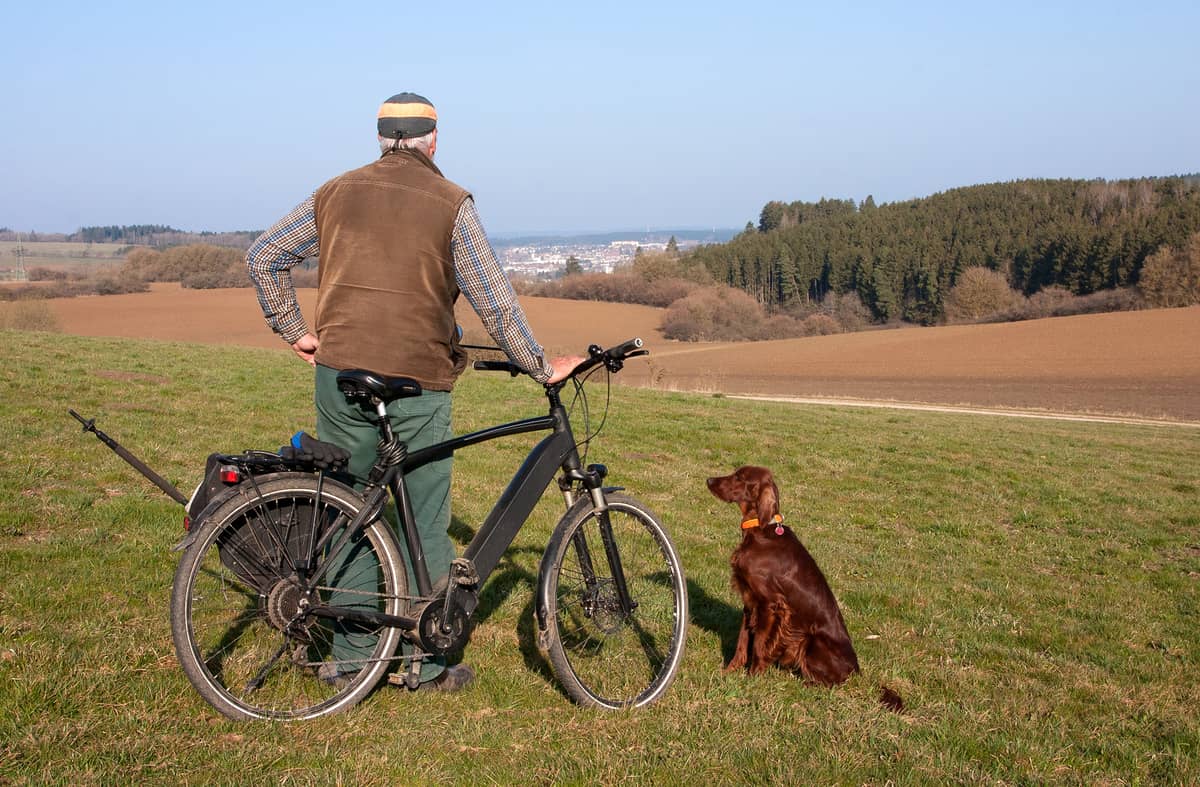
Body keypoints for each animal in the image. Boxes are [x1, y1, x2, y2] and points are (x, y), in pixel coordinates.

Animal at [705, 463, 902, 710]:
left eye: (740, 477)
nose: (709, 480)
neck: (761, 530)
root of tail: (857, 672)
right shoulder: (749, 602)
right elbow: (742, 642)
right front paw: (728, 672)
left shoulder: (771, 605)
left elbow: (759, 645)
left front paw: (752, 678)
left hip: (810, 640)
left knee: (831, 683)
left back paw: (806, 686)